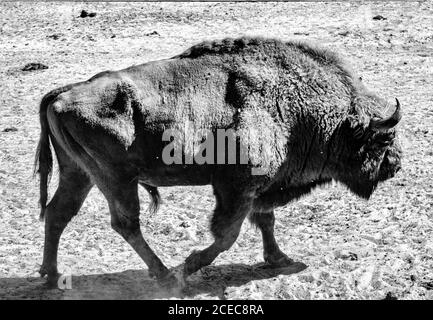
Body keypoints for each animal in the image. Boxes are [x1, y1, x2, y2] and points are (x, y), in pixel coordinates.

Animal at [34, 37, 402, 288]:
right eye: (384, 139)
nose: (395, 164)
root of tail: (62, 93)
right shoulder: (236, 188)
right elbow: (227, 235)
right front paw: (189, 266)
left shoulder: (258, 189)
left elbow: (265, 221)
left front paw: (280, 259)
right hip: (115, 179)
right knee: (125, 223)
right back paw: (165, 276)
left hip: (79, 174)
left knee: (58, 213)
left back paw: (52, 276)